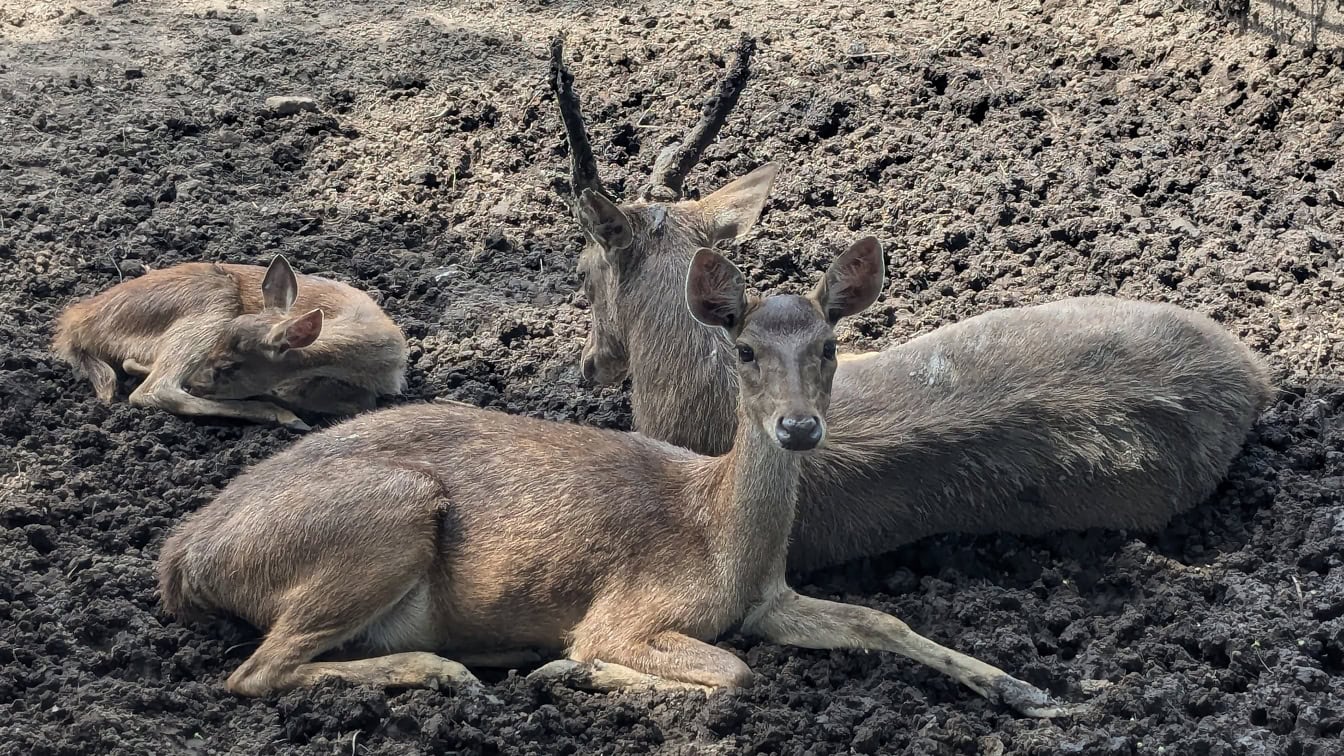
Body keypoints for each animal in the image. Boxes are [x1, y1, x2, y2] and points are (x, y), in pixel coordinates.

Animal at [52, 254, 405, 427]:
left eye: (229, 366)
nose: (198, 383)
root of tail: (77, 324)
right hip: (212, 305)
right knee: (154, 389)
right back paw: (283, 417)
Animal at [152, 238, 1064, 715]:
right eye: (744, 350)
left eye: (832, 346)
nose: (799, 427)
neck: (724, 543)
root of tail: (181, 558)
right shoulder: (627, 608)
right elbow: (730, 673)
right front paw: (572, 669)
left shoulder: (769, 599)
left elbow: (883, 620)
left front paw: (1025, 688)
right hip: (385, 515)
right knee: (254, 671)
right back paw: (451, 670)